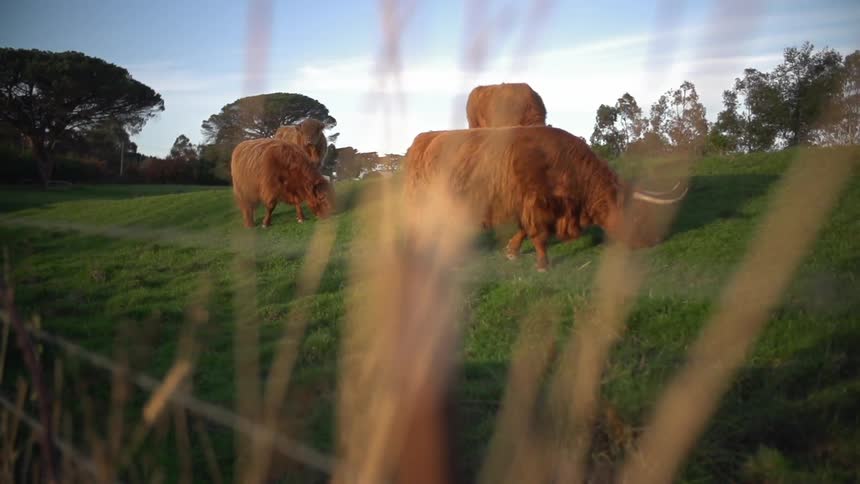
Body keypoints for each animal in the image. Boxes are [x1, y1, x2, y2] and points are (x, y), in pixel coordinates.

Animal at [403, 126, 687, 271]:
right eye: (636, 215)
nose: (653, 240)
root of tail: (425, 137)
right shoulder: (535, 201)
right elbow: (538, 235)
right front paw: (543, 263)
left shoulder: (525, 206)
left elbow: (523, 230)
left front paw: (512, 252)